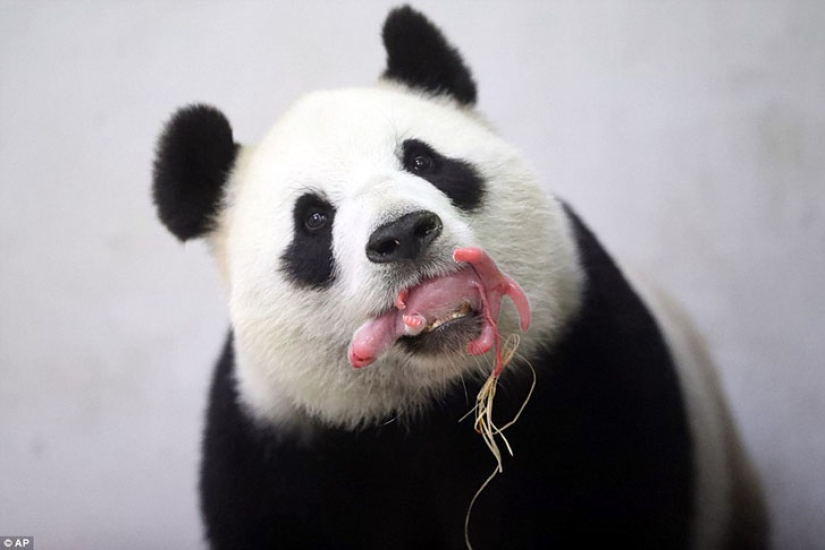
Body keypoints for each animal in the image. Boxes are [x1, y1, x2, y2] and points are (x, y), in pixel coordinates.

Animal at [152, 6, 767, 550]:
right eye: (313, 219)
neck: (434, 401)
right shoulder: (278, 443)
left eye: (423, 161)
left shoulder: (586, 360)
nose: (402, 233)